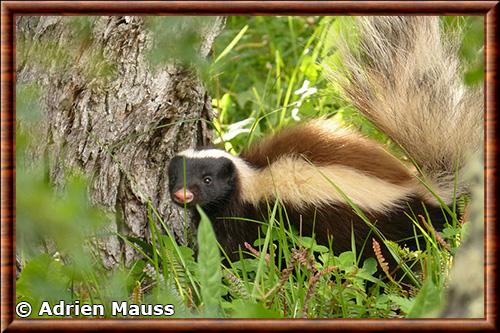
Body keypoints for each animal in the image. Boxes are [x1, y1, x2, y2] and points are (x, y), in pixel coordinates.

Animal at [169, 16, 484, 266]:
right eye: (174, 177)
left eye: (208, 180)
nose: (183, 194)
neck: (251, 178)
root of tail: (424, 189)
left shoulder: (249, 215)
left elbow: (235, 251)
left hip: (378, 228)